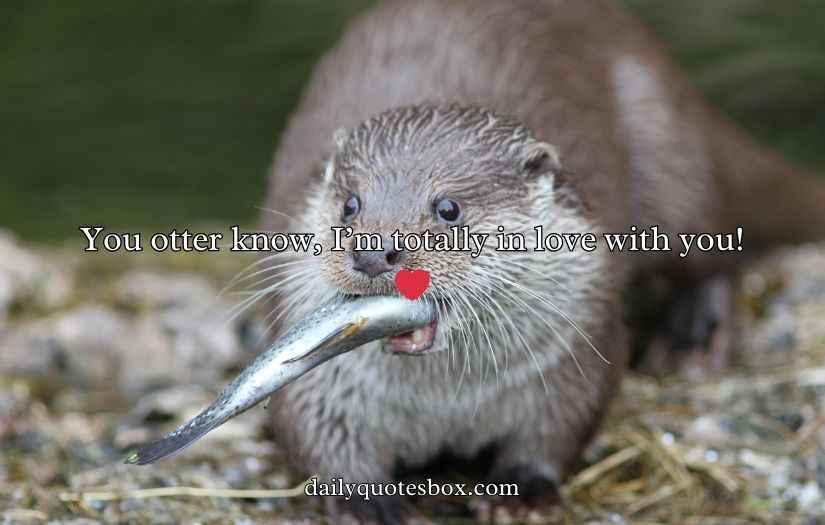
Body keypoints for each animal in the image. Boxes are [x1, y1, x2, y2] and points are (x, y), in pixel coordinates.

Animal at [260, 0, 825, 521]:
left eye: (448, 208)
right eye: (350, 204)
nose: (372, 251)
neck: (447, 402)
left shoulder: (576, 343)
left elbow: (561, 424)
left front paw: (524, 492)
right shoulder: (321, 377)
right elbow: (311, 430)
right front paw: (366, 503)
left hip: (669, 160)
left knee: (713, 248)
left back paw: (693, 337)